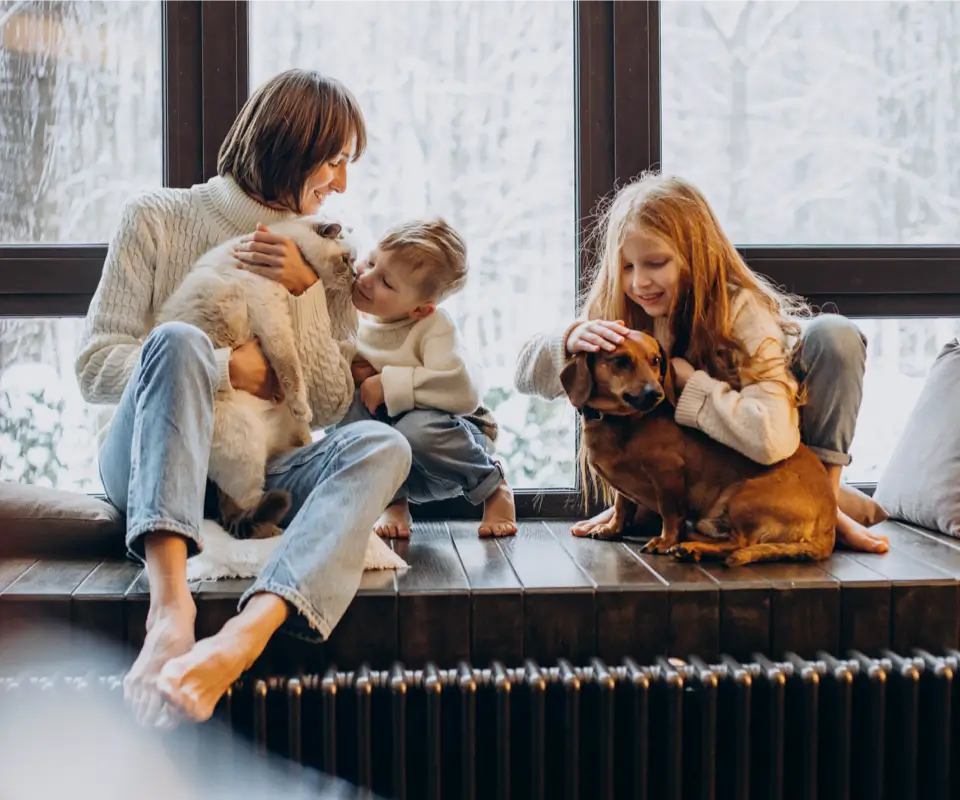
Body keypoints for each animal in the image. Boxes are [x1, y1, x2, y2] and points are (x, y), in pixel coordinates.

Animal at [158, 217, 356, 536]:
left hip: (282, 442)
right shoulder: (272, 317)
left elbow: (294, 369)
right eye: (347, 260)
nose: (355, 275)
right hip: (245, 447)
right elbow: (290, 368)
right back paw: (272, 531)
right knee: (239, 513)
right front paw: (302, 405)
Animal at [560, 328, 836, 564]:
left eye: (656, 360)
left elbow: (670, 513)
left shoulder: (668, 474)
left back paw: (687, 546)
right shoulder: (626, 493)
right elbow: (621, 506)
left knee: (739, 543)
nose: (656, 393)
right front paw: (611, 529)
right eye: (620, 361)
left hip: (743, 497)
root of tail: (827, 526)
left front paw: (665, 541)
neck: (624, 421)